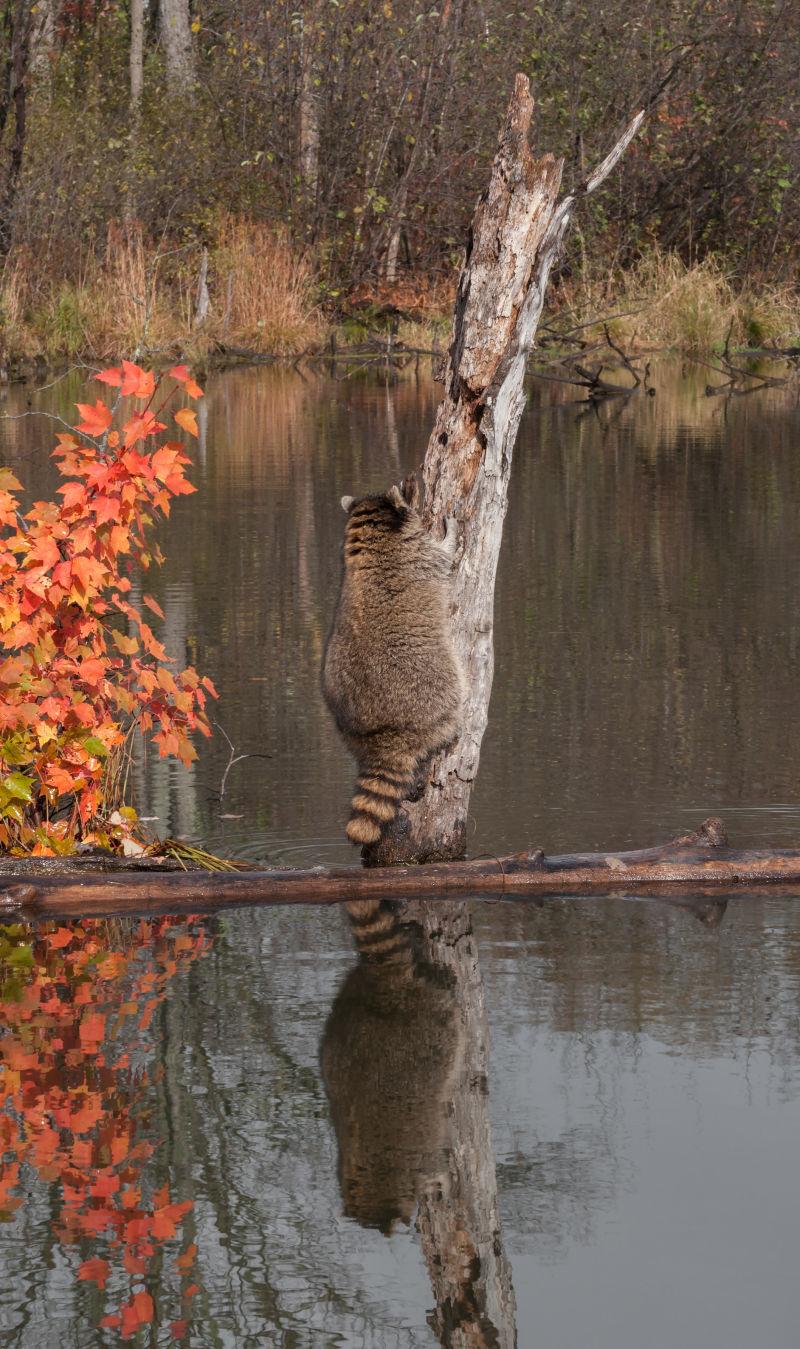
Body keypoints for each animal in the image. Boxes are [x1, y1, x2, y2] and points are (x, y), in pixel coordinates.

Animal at [321, 482, 461, 841]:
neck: (369, 534)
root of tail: (383, 738)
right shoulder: (421, 556)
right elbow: (446, 556)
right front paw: (452, 532)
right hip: (434, 686)